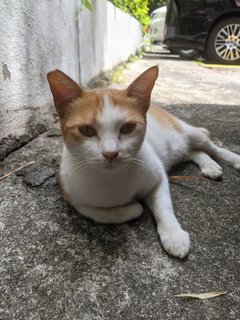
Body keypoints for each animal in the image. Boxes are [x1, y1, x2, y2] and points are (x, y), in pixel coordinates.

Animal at [47, 66, 240, 258]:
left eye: (128, 127)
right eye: (86, 130)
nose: (111, 153)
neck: (111, 179)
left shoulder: (158, 177)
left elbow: (164, 206)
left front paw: (173, 235)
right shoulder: (71, 196)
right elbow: (98, 213)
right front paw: (132, 209)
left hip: (188, 132)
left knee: (210, 146)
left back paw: (233, 159)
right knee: (195, 152)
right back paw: (210, 166)